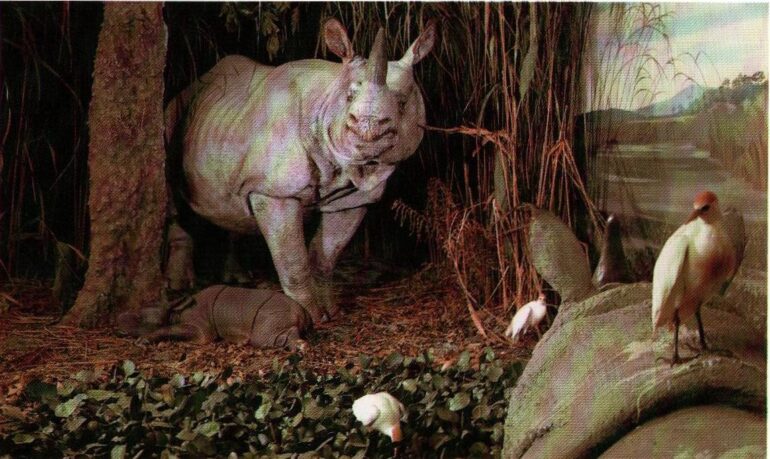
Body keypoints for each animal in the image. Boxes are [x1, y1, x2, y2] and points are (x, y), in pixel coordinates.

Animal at [163, 19, 437, 323]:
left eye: (402, 103)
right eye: (349, 98)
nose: (367, 129)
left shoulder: (351, 199)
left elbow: (326, 255)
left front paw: (332, 312)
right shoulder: (275, 192)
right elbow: (293, 259)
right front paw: (310, 317)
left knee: (233, 206)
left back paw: (237, 279)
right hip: (172, 116)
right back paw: (179, 285)